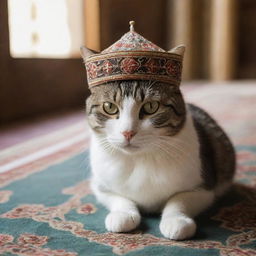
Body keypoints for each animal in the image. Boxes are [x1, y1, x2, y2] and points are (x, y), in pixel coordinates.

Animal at [81, 45, 235, 240]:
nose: (127, 132)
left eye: (151, 107)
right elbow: (119, 198)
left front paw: (176, 221)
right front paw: (122, 215)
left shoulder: (205, 187)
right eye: (109, 107)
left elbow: (178, 199)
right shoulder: (100, 186)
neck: (140, 159)